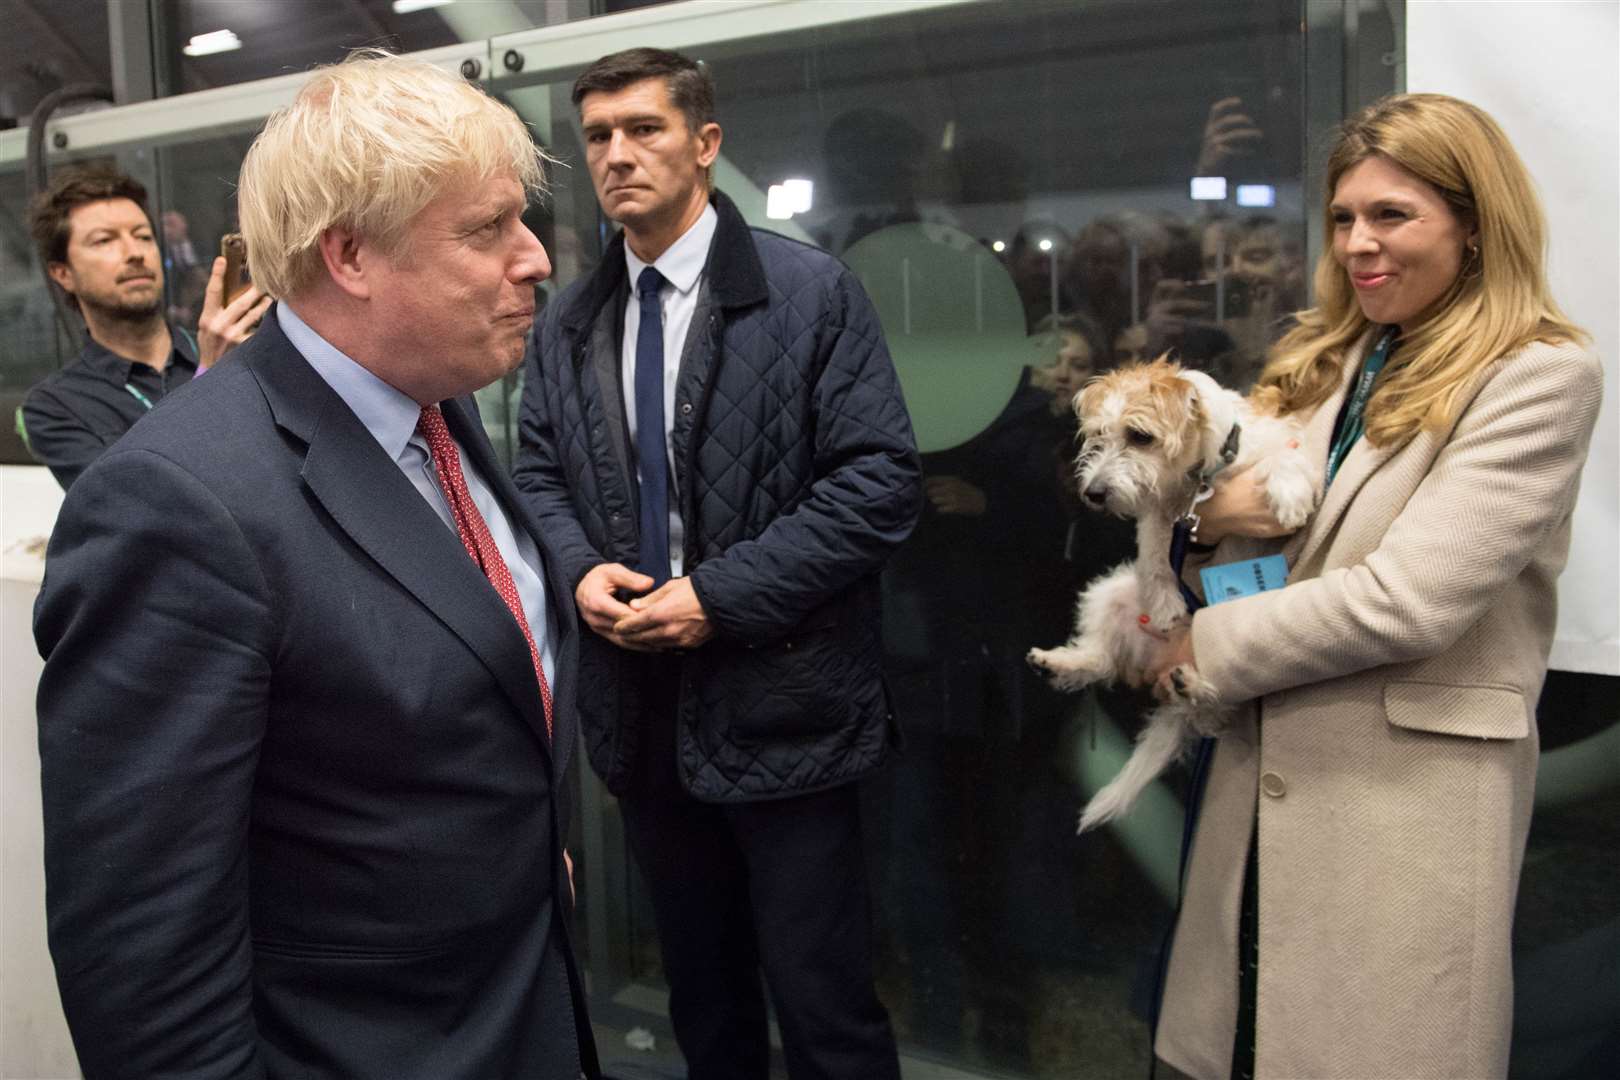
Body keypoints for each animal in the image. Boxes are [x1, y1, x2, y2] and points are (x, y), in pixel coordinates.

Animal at [1030, 359, 1321, 835]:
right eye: (1098, 435)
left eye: (1139, 436)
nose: (1092, 493)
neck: (1198, 477)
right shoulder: (1158, 518)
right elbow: (1154, 556)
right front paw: (1166, 603)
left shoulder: (1279, 443)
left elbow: (1288, 457)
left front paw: (1289, 495)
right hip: (1110, 592)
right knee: (1102, 660)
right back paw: (1061, 662)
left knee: (1217, 699)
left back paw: (1194, 683)